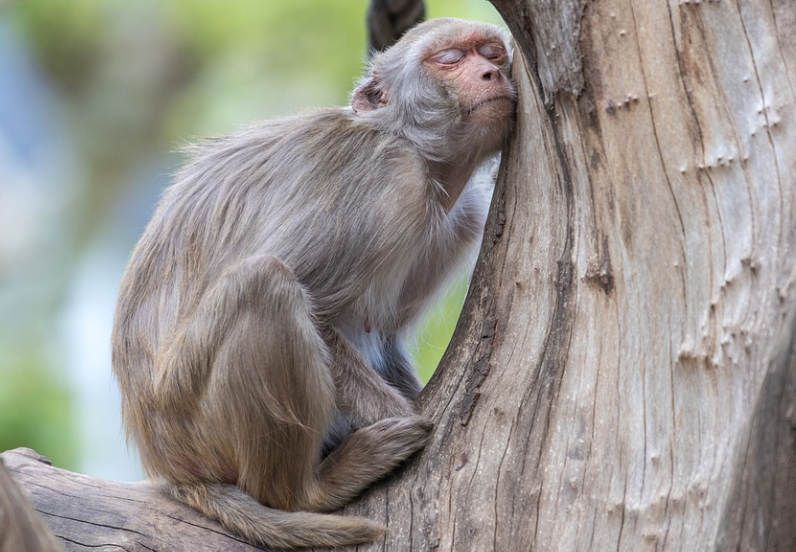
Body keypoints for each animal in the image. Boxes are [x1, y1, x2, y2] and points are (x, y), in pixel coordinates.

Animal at [112, 16, 516, 548]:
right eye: (449, 59)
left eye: (492, 53)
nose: (492, 73)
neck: (416, 152)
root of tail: (167, 465)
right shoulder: (386, 181)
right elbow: (317, 309)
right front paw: (406, 416)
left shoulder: (463, 216)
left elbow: (383, 333)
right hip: (192, 416)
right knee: (265, 283)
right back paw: (309, 491)